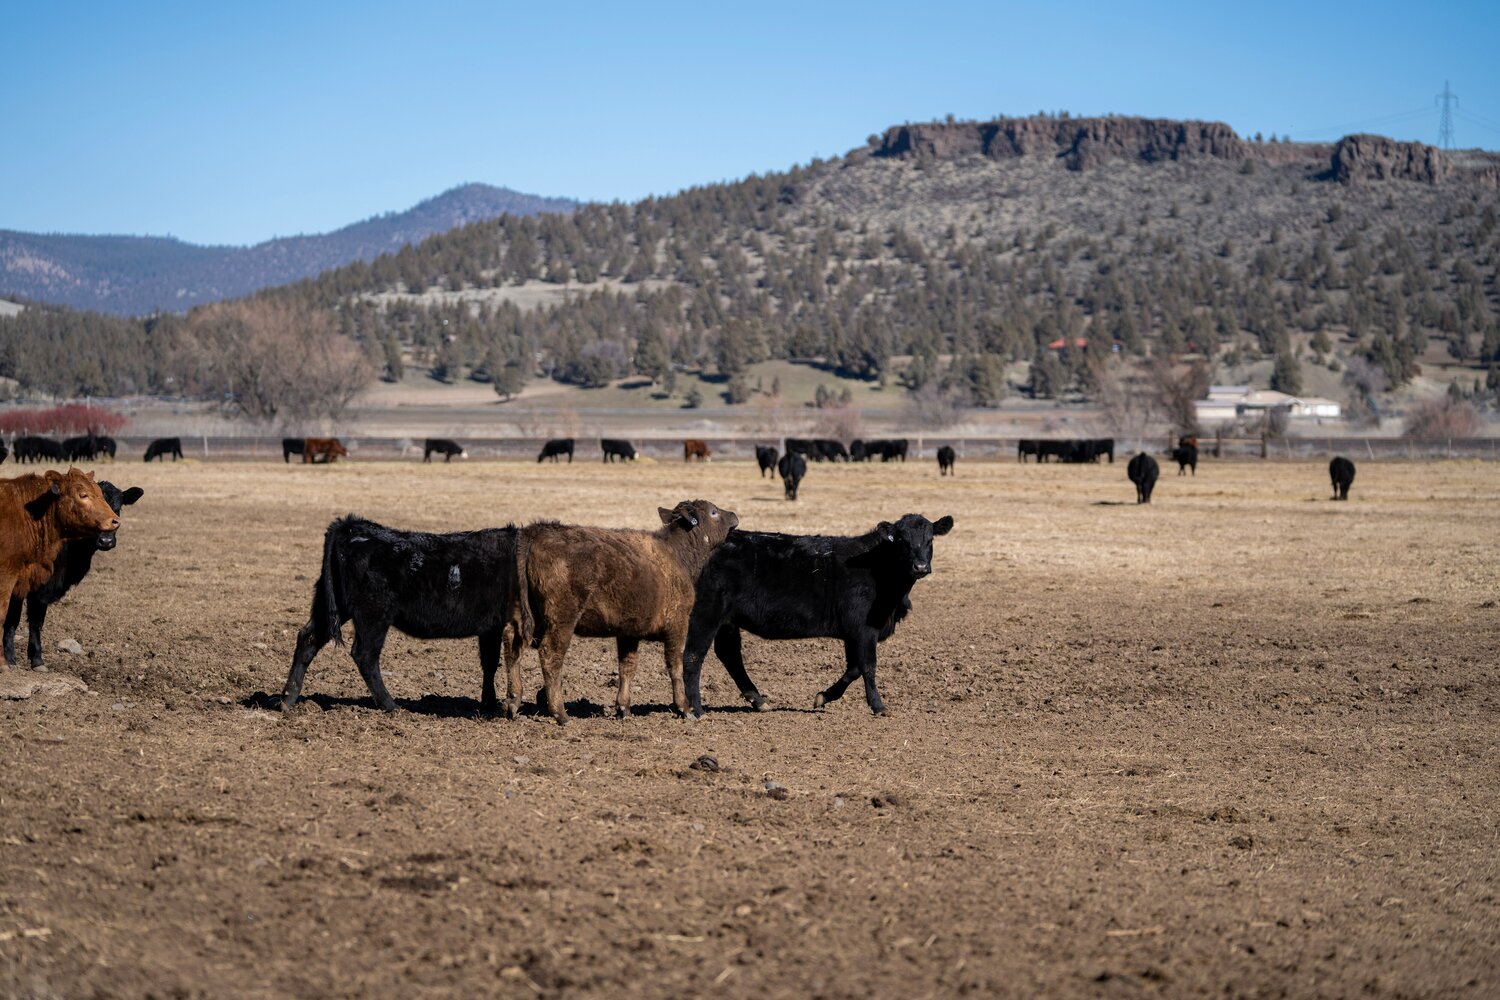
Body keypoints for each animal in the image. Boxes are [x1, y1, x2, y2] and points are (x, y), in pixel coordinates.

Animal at [280, 516, 524, 715]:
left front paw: (488, 703)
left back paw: (287, 699)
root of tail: (352, 526)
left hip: (334, 605)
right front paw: (491, 705)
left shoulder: (490, 628)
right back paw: (391, 705)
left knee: (308, 638)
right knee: (365, 655)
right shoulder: (494, 625)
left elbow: (489, 663)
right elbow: (492, 662)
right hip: (373, 615)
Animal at [515, 499, 739, 724]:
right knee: (550, 655)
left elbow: (627, 667)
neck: (676, 555)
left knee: (514, 647)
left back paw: (513, 701)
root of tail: (538, 532)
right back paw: (560, 713)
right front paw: (684, 708)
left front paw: (624, 708)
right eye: (713, 512)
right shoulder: (678, 624)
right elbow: (675, 666)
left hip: (521, 614)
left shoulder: (629, 632)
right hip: (561, 619)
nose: (734, 516)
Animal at [682, 513, 955, 718]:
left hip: (727, 620)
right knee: (693, 655)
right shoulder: (864, 628)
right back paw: (695, 709)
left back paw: (758, 700)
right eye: (901, 540)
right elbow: (868, 666)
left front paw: (822, 697)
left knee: (729, 655)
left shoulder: (852, 633)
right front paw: (878, 706)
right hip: (706, 613)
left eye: (930, 539)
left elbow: (854, 667)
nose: (920, 567)